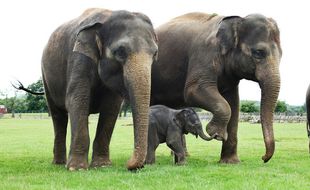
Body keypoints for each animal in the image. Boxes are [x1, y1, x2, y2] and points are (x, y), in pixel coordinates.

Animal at [40, 8, 159, 171]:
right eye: (120, 52)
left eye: (155, 54)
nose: (130, 165)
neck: (107, 16)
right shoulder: (78, 57)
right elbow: (77, 100)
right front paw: (76, 168)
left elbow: (111, 107)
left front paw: (102, 166)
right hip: (46, 76)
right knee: (57, 115)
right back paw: (59, 163)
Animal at [151, 12, 284, 163]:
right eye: (258, 52)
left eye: (282, 55)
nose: (263, 158)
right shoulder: (204, 53)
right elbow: (194, 90)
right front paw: (215, 133)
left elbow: (234, 103)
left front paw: (230, 162)